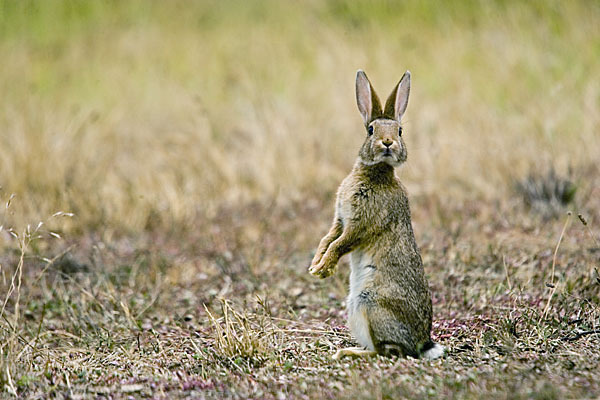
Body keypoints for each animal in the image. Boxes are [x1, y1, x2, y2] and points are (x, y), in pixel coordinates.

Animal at [310, 70, 446, 360]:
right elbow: (328, 238)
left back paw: (348, 353)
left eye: (400, 131)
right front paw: (315, 265)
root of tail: (422, 343)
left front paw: (325, 269)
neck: (375, 173)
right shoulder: (340, 219)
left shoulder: (361, 225)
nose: (388, 143)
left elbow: (340, 244)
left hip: (371, 304)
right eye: (370, 129)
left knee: (389, 351)